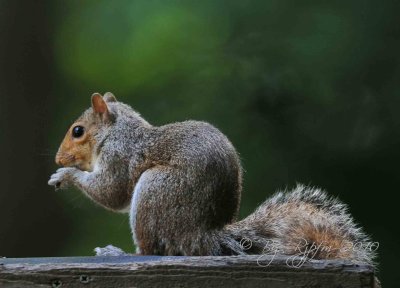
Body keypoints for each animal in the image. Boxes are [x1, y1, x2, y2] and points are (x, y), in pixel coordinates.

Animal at [48, 92, 376, 266]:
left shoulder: (120, 155)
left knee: (153, 249)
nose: (58, 159)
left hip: (155, 191)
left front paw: (65, 174)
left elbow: (112, 192)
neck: (117, 131)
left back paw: (119, 252)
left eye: (78, 131)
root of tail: (204, 235)